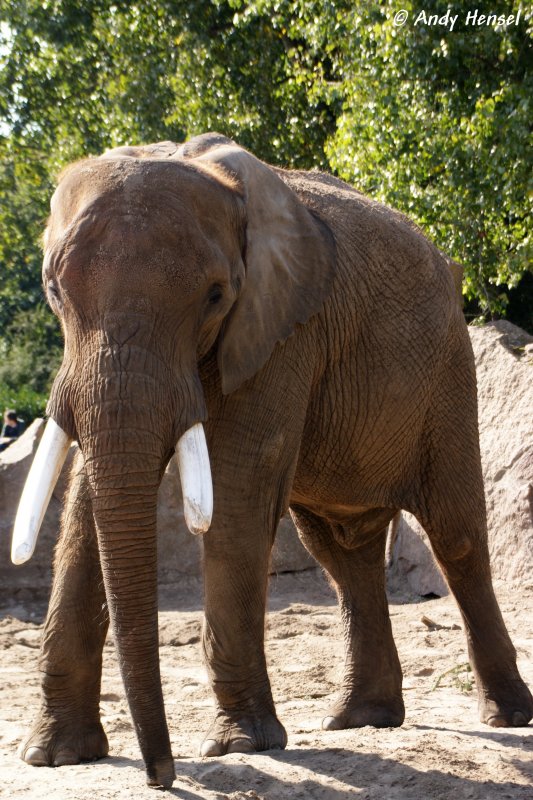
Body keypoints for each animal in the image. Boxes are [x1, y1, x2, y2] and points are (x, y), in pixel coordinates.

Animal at [13, 133, 532, 788]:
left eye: (215, 296)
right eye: (54, 291)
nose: (164, 776)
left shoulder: (282, 332)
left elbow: (237, 497)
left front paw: (240, 745)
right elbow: (84, 506)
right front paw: (55, 755)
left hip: (448, 374)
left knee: (456, 537)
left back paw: (506, 716)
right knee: (341, 550)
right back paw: (360, 719)